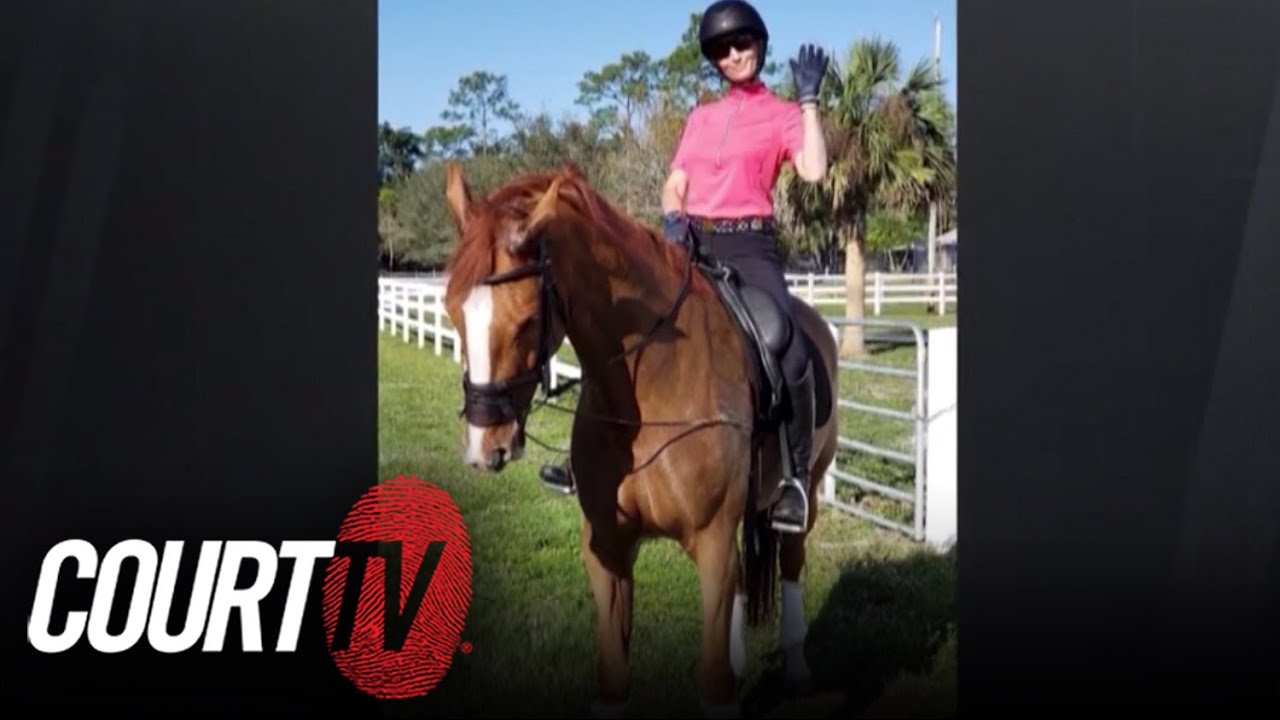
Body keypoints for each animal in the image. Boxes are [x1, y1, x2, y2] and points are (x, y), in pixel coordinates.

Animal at [439, 161, 841, 718]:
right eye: (452, 310)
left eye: (526, 322)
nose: (485, 445)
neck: (650, 385)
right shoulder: (607, 550)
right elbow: (614, 679)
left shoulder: (712, 544)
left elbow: (713, 683)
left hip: (806, 492)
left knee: (793, 558)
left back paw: (797, 667)